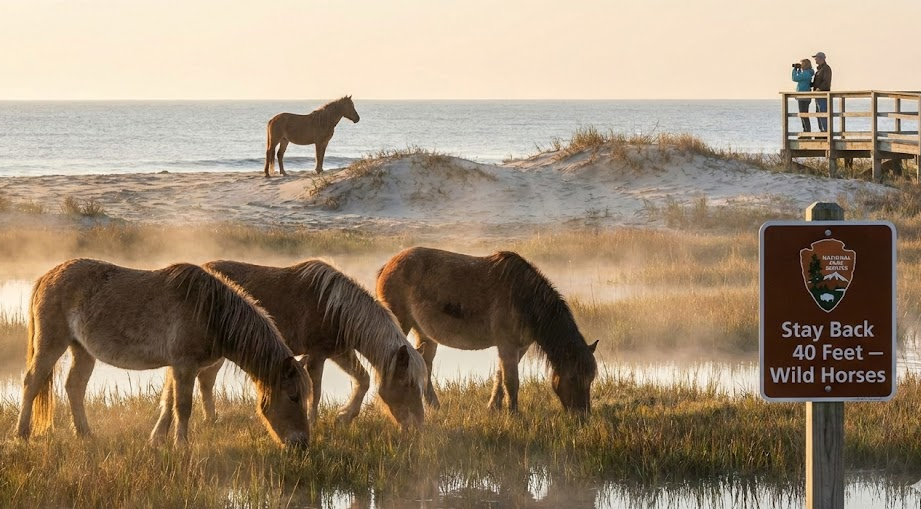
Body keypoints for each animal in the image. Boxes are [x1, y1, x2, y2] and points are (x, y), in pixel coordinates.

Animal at [16, 259, 311, 448]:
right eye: (293, 397)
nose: (302, 445)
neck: (211, 311)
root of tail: (46, 277)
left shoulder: (177, 367)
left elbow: (168, 402)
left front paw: (158, 439)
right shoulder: (185, 365)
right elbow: (183, 406)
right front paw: (182, 445)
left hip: (83, 350)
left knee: (74, 387)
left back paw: (86, 435)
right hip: (51, 343)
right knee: (32, 383)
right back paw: (22, 435)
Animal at [186, 259, 428, 430]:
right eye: (407, 383)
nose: (418, 425)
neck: (336, 309)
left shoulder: (341, 353)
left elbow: (363, 380)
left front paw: (345, 416)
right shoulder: (317, 355)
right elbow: (317, 390)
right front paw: (313, 421)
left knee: (206, 380)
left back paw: (211, 419)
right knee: (205, 379)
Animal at [376, 247, 598, 413]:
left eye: (591, 378)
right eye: (573, 377)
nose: (582, 415)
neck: (524, 298)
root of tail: (387, 266)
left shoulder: (519, 347)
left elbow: (500, 377)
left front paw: (494, 407)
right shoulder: (507, 345)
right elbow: (511, 381)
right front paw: (513, 414)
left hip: (425, 334)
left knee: (425, 365)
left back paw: (435, 407)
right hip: (401, 323)